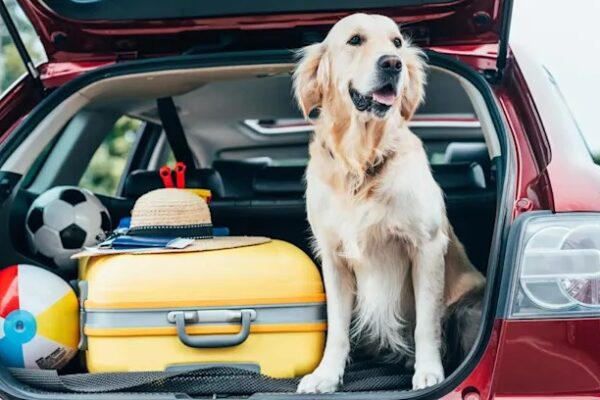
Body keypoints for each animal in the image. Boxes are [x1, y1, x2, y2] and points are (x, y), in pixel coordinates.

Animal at [292, 13, 486, 394]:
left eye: (396, 42)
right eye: (355, 40)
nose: (393, 63)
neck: (362, 161)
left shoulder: (426, 246)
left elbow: (426, 323)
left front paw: (429, 372)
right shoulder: (333, 257)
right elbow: (337, 328)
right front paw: (326, 375)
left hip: (469, 306)